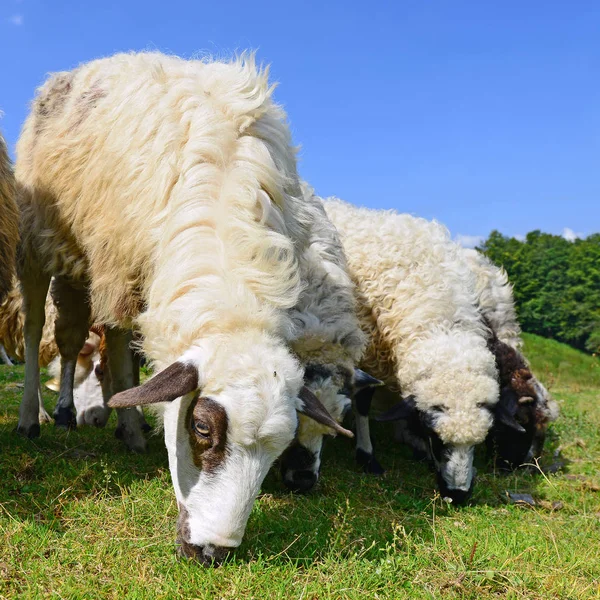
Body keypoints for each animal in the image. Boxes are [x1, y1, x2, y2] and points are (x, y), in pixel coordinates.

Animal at [322, 199, 500, 504]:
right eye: (437, 437)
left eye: (478, 442)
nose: (459, 495)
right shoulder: (366, 353)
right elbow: (363, 402)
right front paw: (367, 456)